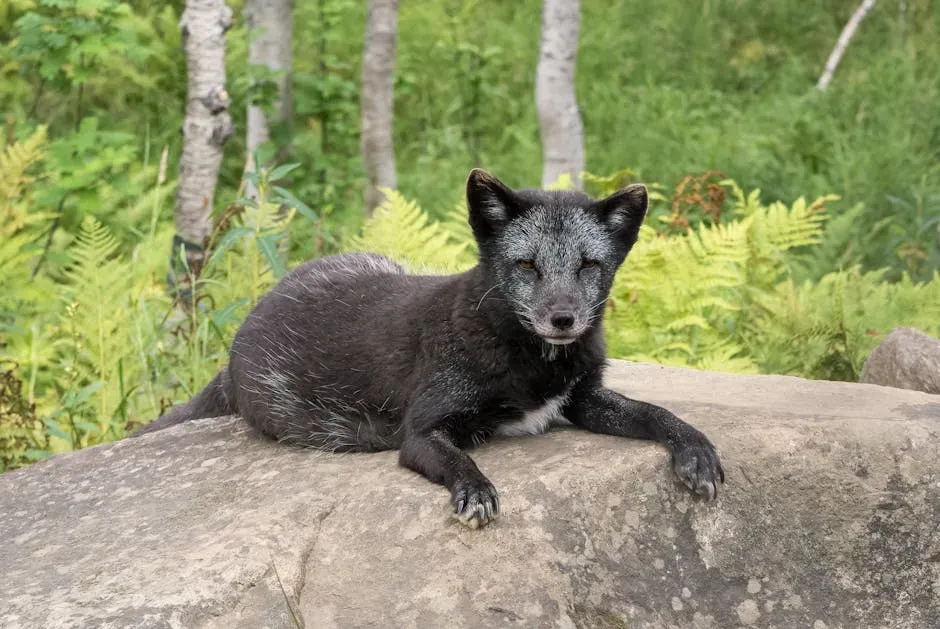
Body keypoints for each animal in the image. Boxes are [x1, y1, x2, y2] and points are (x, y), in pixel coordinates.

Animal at [135, 169, 725, 528]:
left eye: (588, 265)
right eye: (527, 265)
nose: (563, 319)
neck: (531, 365)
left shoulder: (581, 399)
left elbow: (655, 411)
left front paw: (696, 449)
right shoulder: (420, 431)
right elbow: (456, 458)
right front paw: (476, 489)